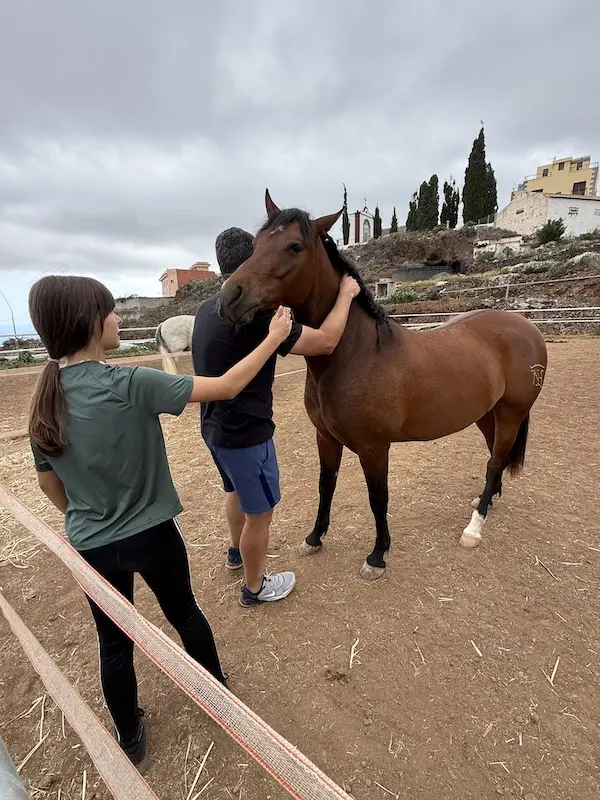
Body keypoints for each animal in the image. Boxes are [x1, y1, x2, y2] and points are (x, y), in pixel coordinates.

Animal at [219, 190, 548, 580]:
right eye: (256, 244)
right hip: (487, 414)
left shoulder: (374, 448)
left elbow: (378, 498)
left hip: (512, 413)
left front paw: (378, 555)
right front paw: (315, 537)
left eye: (294, 246)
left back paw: (474, 527)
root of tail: (527, 327)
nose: (230, 297)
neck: (355, 351)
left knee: (496, 461)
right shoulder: (325, 438)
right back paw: (487, 500)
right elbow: (325, 486)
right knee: (493, 457)